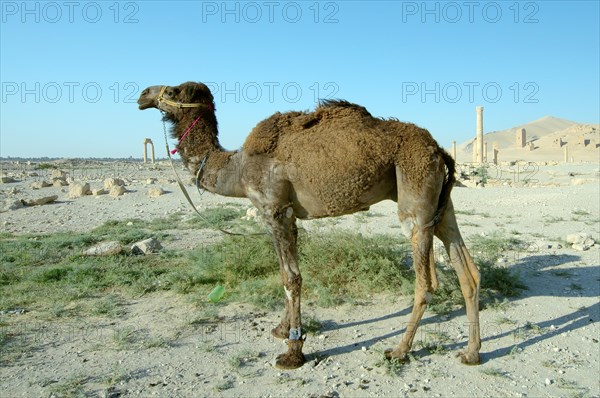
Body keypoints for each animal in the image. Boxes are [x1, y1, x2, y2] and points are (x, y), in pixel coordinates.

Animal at [137, 81, 482, 370]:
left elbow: (291, 278)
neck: (236, 167)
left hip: (415, 196)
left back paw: (399, 350)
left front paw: (293, 352)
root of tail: (439, 150)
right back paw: (471, 352)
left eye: (173, 90)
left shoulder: (275, 209)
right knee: (467, 270)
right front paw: (281, 330)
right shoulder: (285, 215)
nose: (142, 95)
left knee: (426, 282)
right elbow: (286, 274)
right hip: (440, 203)